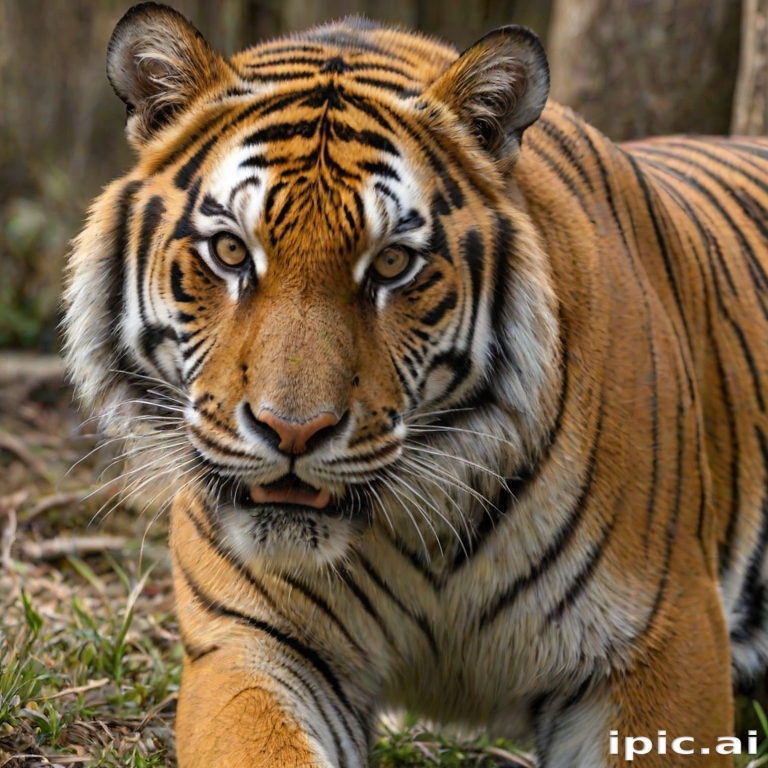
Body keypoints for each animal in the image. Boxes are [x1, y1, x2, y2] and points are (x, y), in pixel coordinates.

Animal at [61, 2, 768, 766]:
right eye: (229, 251)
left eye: (393, 264)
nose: (292, 432)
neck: (423, 536)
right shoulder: (255, 644)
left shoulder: (661, 641)